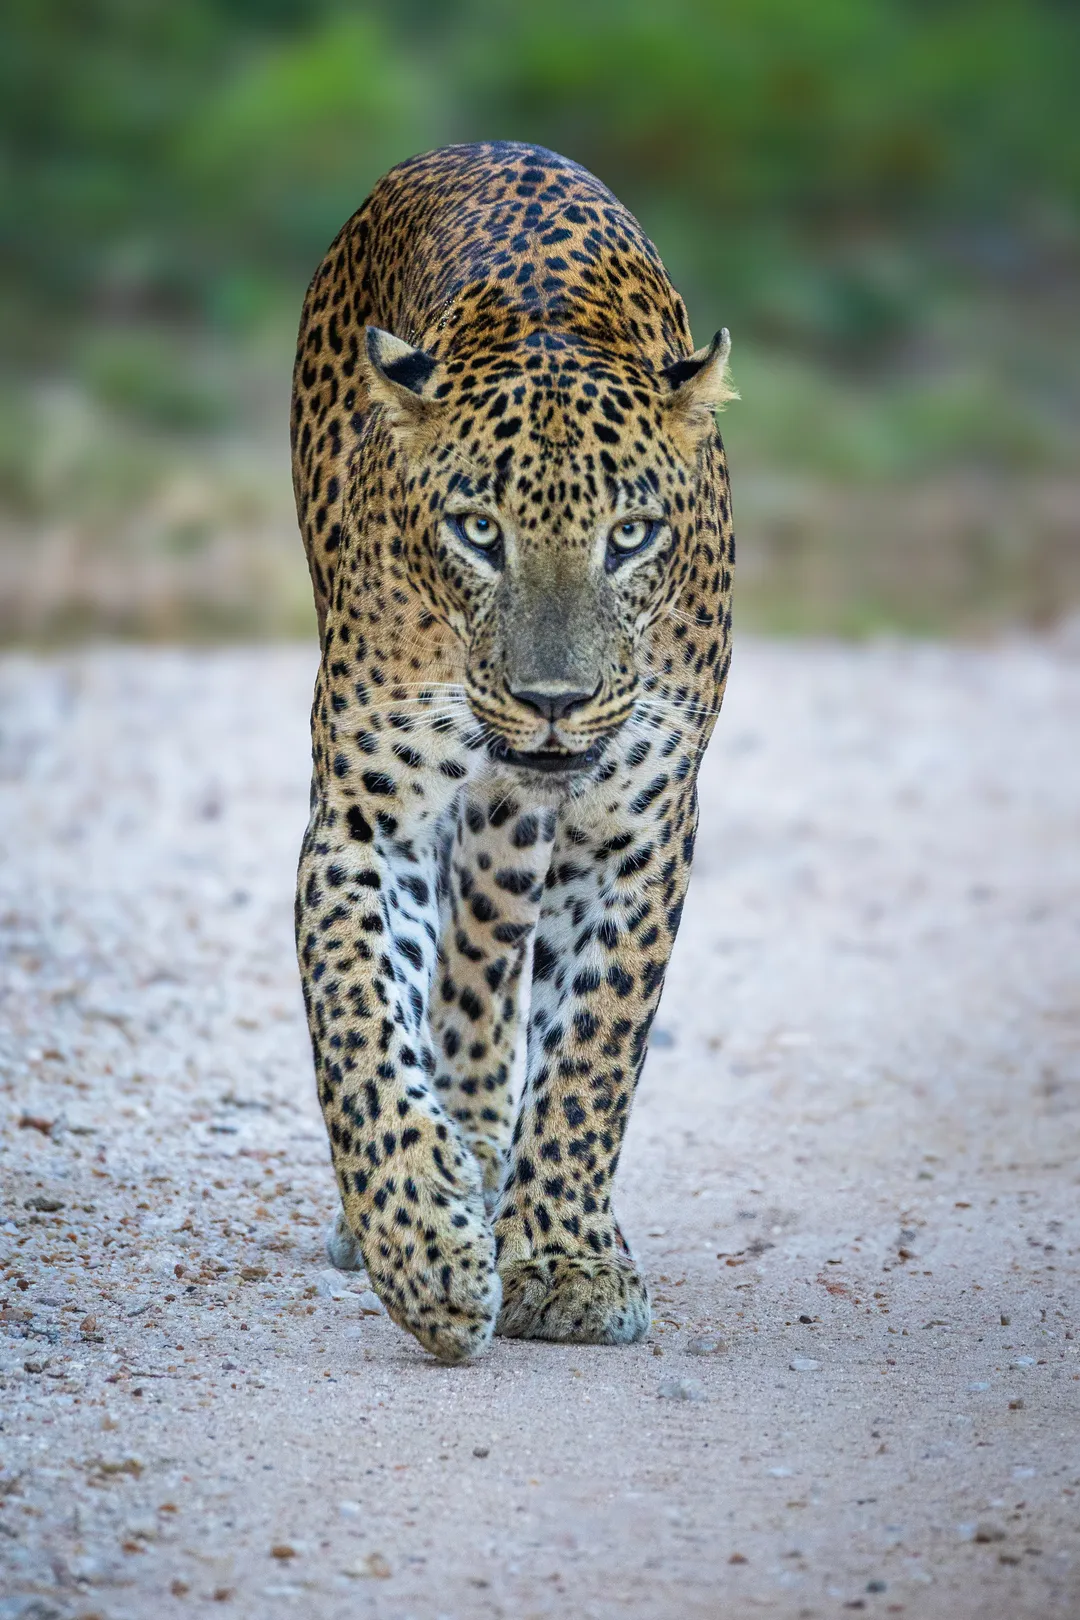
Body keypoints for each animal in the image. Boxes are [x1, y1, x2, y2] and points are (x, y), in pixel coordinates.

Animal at [290, 141, 736, 1363]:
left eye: (629, 536)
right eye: (478, 531)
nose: (551, 701)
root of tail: (483, 145)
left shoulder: (644, 824)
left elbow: (594, 1053)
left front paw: (564, 1257)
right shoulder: (366, 816)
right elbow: (357, 1024)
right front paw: (422, 1252)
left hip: (518, 823)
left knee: (489, 957)